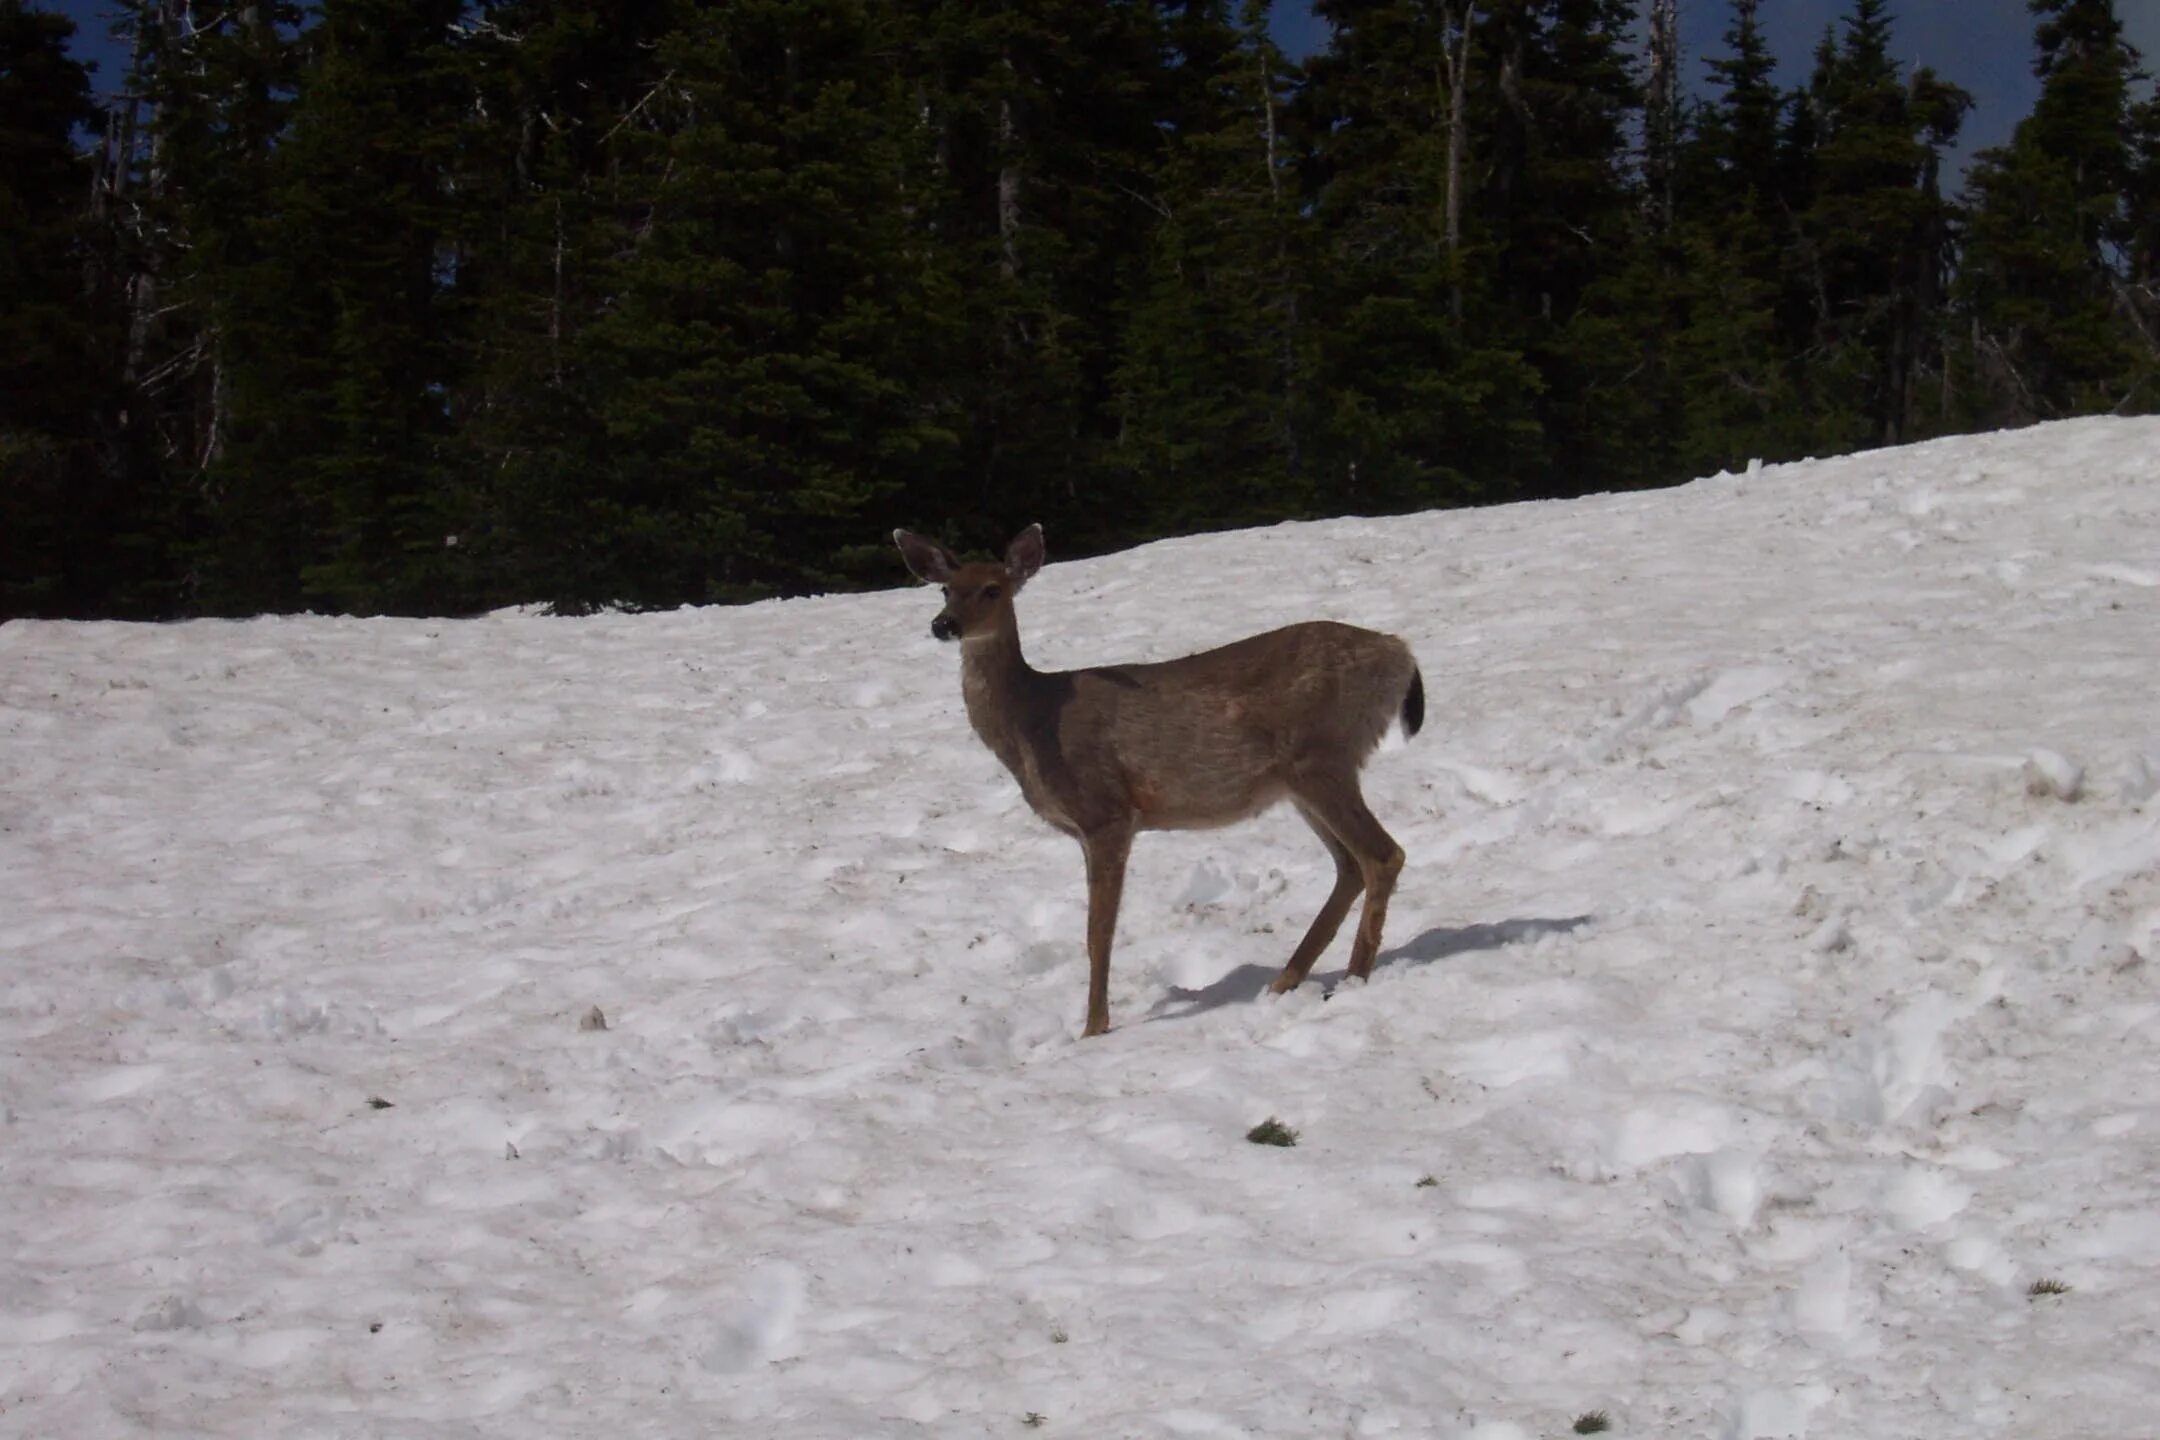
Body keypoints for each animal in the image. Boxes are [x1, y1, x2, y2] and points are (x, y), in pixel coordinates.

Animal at [885, 524, 1425, 1040]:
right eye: (945, 589)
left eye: (993, 589)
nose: (943, 625)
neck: (1035, 720)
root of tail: (1401, 652)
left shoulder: (1107, 811)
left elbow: (1097, 932)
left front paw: (1093, 1029)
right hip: (1301, 780)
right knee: (1349, 865)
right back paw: (1285, 982)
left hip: (1322, 755)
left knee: (1383, 855)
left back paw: (1352, 980)